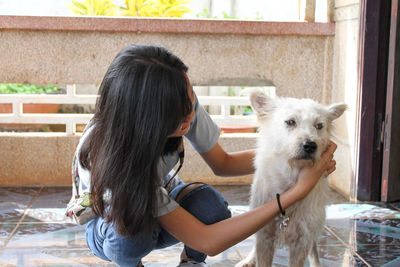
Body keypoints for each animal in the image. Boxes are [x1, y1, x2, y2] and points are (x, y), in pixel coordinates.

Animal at [236, 91, 346, 266]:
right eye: (290, 122)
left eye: (319, 126)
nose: (310, 145)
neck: (291, 180)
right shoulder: (264, 237)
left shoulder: (302, 242)